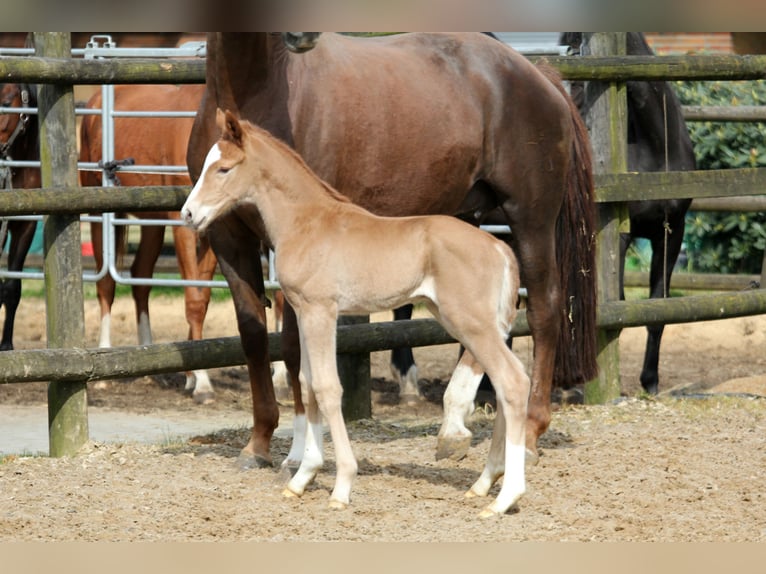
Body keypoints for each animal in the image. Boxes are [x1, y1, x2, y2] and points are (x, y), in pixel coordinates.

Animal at [80, 84, 220, 404]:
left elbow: (203, 296)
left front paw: (193, 374)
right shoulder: (183, 226)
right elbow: (194, 298)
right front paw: (203, 383)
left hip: (151, 221)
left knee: (140, 277)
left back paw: (147, 357)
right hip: (99, 214)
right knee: (106, 283)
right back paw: (104, 363)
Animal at [182, 110, 532, 520]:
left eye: (223, 168)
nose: (188, 214)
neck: (308, 222)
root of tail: (499, 247)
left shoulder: (321, 310)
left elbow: (327, 388)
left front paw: (342, 485)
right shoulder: (303, 311)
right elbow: (307, 383)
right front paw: (302, 478)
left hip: (471, 323)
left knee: (513, 381)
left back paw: (504, 497)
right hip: (470, 322)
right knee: (507, 383)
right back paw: (484, 482)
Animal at [186, 32, 600, 472]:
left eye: (225, 169)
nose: (304, 36)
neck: (260, 88)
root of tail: (538, 74)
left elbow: (296, 349)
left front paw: (300, 449)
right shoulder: (228, 237)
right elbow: (253, 335)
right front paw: (259, 442)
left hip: (531, 220)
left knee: (543, 310)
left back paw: (531, 431)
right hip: (465, 224)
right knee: (489, 325)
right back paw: (454, 424)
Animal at [560, 32, 700, 396]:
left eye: (577, 48)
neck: (655, 146)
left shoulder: (671, 232)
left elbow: (658, 310)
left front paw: (650, 381)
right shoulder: (619, 236)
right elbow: (617, 305)